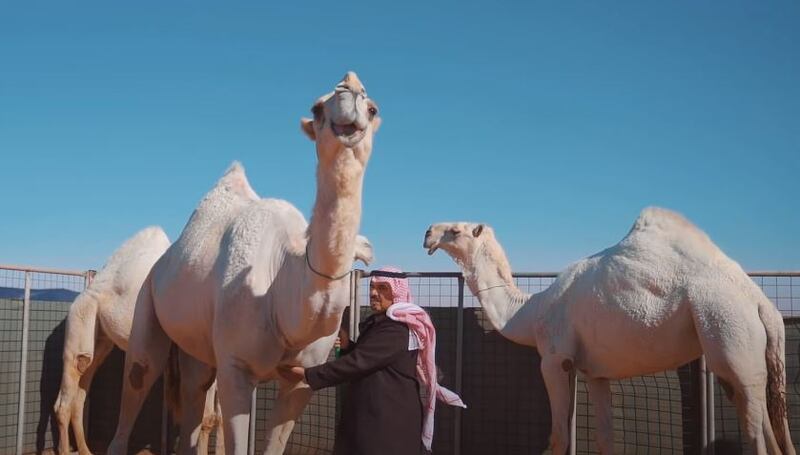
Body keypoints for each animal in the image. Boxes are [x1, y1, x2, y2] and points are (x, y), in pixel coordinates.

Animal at [53, 228, 223, 455]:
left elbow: (213, 418)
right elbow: (206, 418)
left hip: (101, 340)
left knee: (79, 395)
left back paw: (86, 451)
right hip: (80, 317)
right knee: (67, 396)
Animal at [109, 72, 382, 455]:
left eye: (372, 109)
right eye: (316, 108)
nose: (350, 87)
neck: (282, 290)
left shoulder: (301, 380)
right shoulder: (236, 369)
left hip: (198, 347)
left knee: (193, 396)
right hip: (147, 301)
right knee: (140, 373)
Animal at [424, 208, 792, 455]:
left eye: (455, 230)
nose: (427, 231)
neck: (531, 311)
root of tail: (762, 304)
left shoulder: (555, 360)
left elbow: (559, 437)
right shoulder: (595, 373)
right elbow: (605, 438)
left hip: (727, 330)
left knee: (754, 431)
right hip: (749, 355)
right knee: (765, 421)